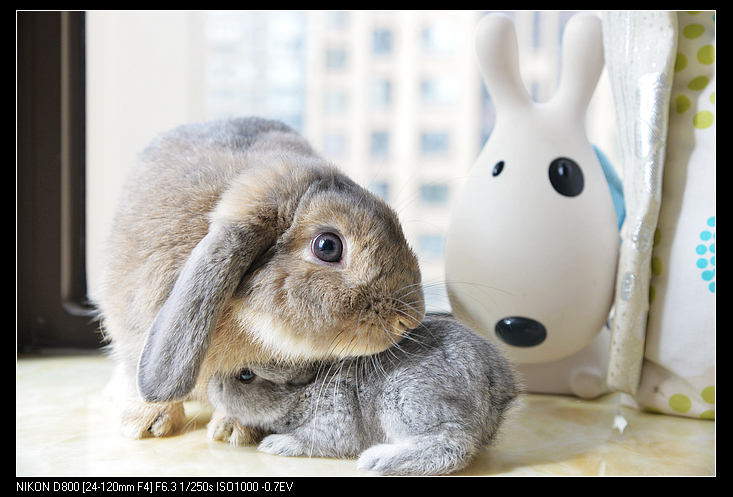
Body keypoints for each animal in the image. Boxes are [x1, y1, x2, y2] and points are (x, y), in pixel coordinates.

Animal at [206, 314, 520, 476]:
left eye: (245, 374)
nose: (211, 386)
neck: (305, 389)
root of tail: (497, 385)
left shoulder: (335, 417)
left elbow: (311, 439)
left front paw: (275, 444)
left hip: (403, 400)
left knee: (453, 446)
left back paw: (375, 460)